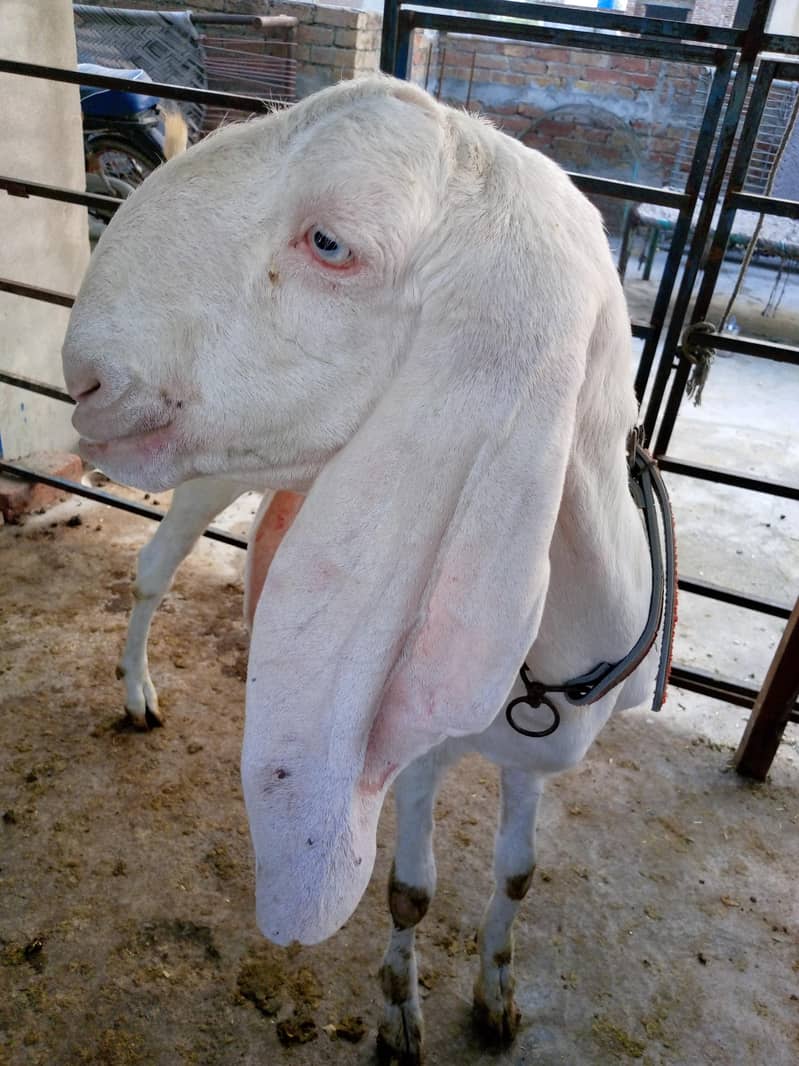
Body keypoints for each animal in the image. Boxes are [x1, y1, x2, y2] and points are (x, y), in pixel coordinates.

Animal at [62, 76, 660, 1062]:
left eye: (330, 243)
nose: (86, 380)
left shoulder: (532, 764)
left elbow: (520, 875)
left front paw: (497, 998)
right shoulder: (410, 753)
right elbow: (410, 893)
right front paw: (398, 1018)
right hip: (207, 475)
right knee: (151, 572)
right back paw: (137, 690)